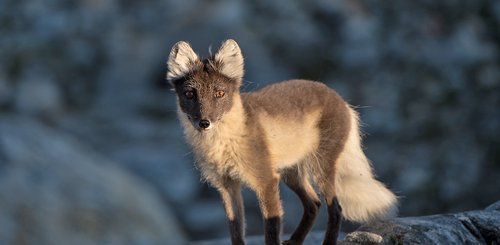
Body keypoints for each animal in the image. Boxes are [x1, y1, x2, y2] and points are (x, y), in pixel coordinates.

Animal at [168, 39, 398, 244]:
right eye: (190, 94)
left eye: (219, 93)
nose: (204, 123)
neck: (222, 144)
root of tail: (340, 98)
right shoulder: (226, 185)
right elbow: (235, 230)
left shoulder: (266, 180)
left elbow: (271, 229)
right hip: (291, 174)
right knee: (314, 204)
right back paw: (295, 240)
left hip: (321, 168)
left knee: (336, 209)